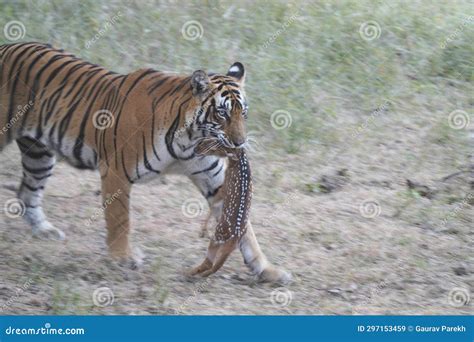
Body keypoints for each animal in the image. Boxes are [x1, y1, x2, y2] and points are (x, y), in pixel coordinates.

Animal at [0, 42, 290, 284]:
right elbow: (119, 219)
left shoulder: (213, 179)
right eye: (222, 114)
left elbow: (244, 228)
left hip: (39, 155)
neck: (189, 140)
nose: (240, 143)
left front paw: (268, 270)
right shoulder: (115, 171)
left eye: (244, 114)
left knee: (27, 192)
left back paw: (45, 231)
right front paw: (123, 258)